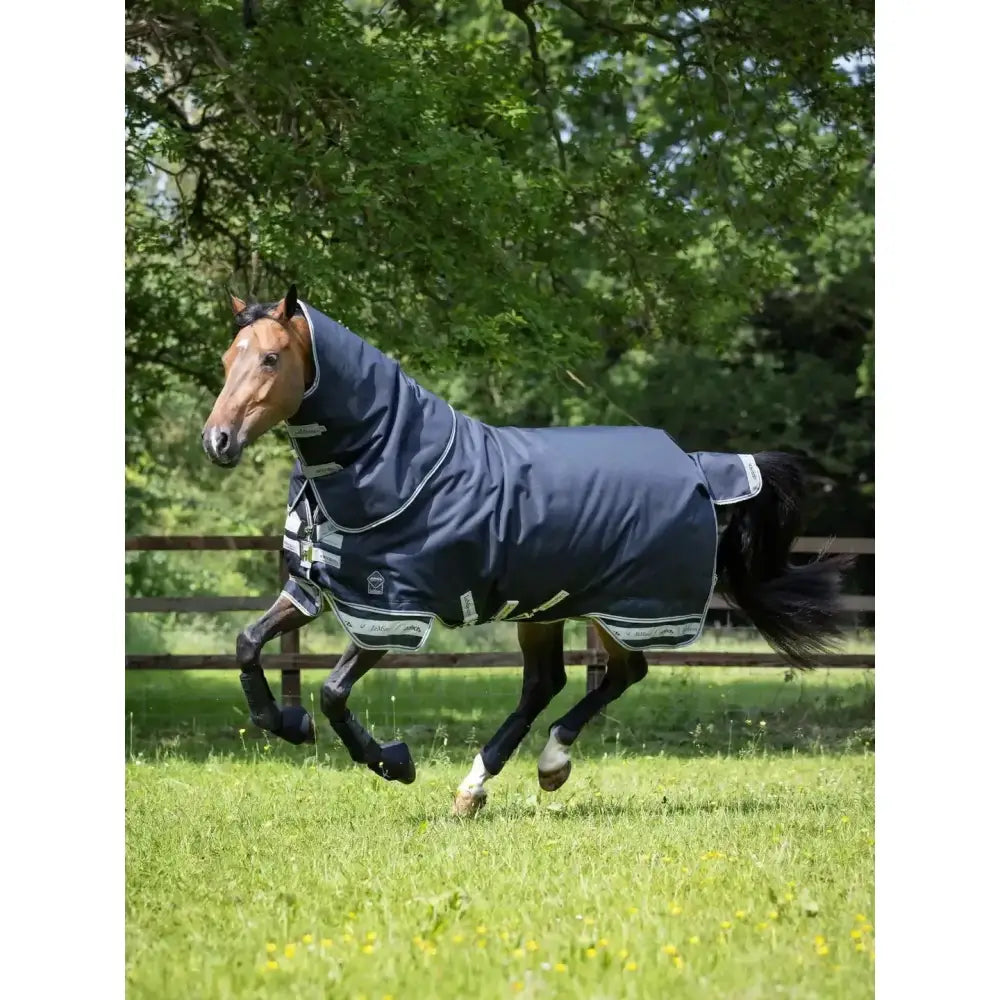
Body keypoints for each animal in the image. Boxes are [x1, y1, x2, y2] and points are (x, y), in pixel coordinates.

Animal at [202, 285, 849, 816]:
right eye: (228, 359)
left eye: (270, 358)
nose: (218, 441)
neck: (392, 463)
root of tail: (698, 465)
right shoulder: (314, 588)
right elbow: (247, 644)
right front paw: (288, 723)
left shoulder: (393, 612)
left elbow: (334, 693)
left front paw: (394, 762)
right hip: (546, 607)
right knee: (549, 683)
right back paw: (479, 788)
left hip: (626, 606)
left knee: (620, 673)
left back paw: (545, 765)